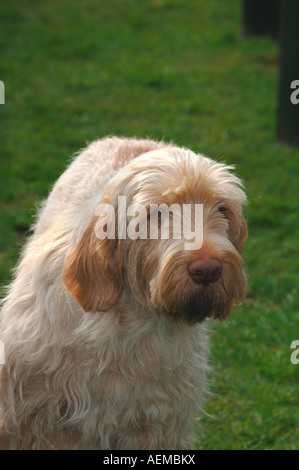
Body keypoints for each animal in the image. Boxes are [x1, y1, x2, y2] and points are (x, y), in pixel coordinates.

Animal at [0, 136, 248, 448]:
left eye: (222, 209)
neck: (129, 322)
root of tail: (132, 139)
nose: (208, 270)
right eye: (156, 214)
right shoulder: (27, 414)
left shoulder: (156, 424)